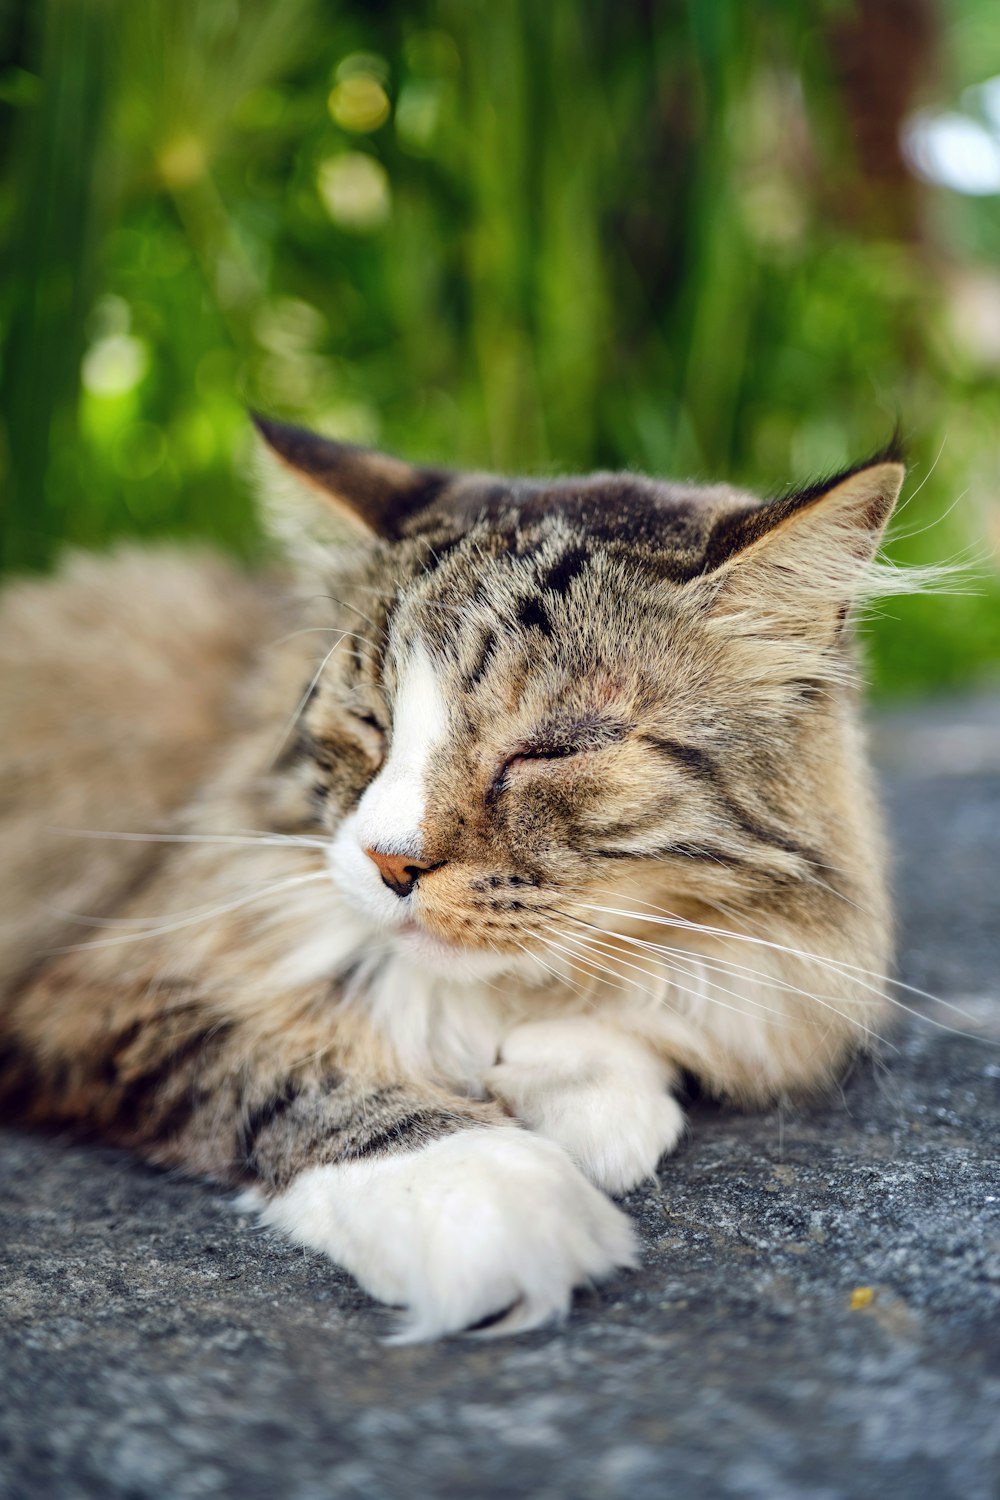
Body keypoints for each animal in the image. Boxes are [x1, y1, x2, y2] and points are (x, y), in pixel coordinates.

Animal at [0, 417, 911, 1344]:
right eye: (370, 723)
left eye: (551, 748)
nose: (388, 860)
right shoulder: (104, 983)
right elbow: (296, 1073)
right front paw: (490, 1191)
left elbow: (672, 1009)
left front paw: (577, 1089)